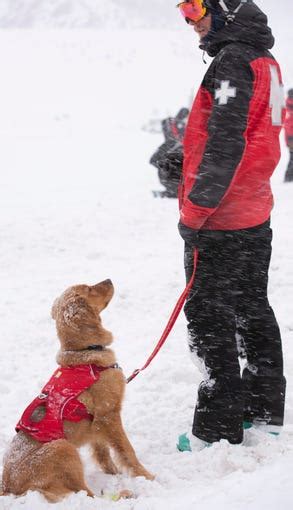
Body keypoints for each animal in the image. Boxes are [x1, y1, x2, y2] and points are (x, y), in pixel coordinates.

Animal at [2, 278, 154, 502]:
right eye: (89, 288)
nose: (109, 279)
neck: (84, 353)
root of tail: (7, 487)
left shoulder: (97, 424)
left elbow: (103, 453)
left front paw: (113, 472)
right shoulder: (109, 415)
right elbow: (127, 451)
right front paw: (146, 476)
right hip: (62, 448)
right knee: (87, 494)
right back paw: (123, 494)